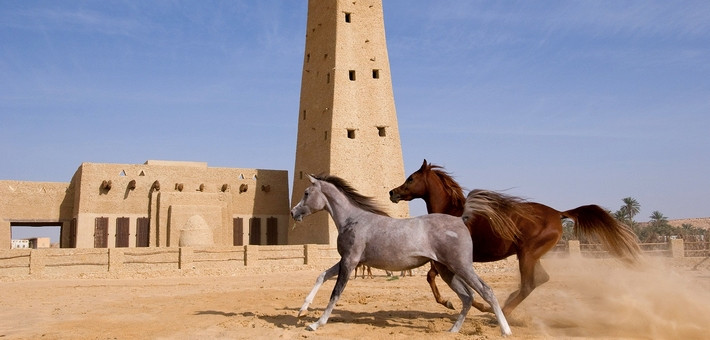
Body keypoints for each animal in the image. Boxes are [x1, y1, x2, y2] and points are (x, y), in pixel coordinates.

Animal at [292, 174, 516, 336]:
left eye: (306, 193)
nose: (294, 212)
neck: (352, 219)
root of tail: (461, 219)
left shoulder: (350, 261)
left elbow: (335, 293)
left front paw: (316, 324)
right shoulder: (346, 261)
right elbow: (321, 276)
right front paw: (302, 310)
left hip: (461, 266)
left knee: (486, 291)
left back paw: (505, 330)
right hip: (446, 270)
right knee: (467, 297)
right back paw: (453, 330)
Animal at [392, 159, 644, 316]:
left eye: (411, 178)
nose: (392, 192)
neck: (452, 213)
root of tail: (558, 213)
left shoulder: (450, 259)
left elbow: (435, 278)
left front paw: (458, 303)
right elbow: (434, 278)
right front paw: (457, 303)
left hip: (527, 254)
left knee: (529, 284)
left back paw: (503, 311)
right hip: (531, 255)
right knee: (539, 280)